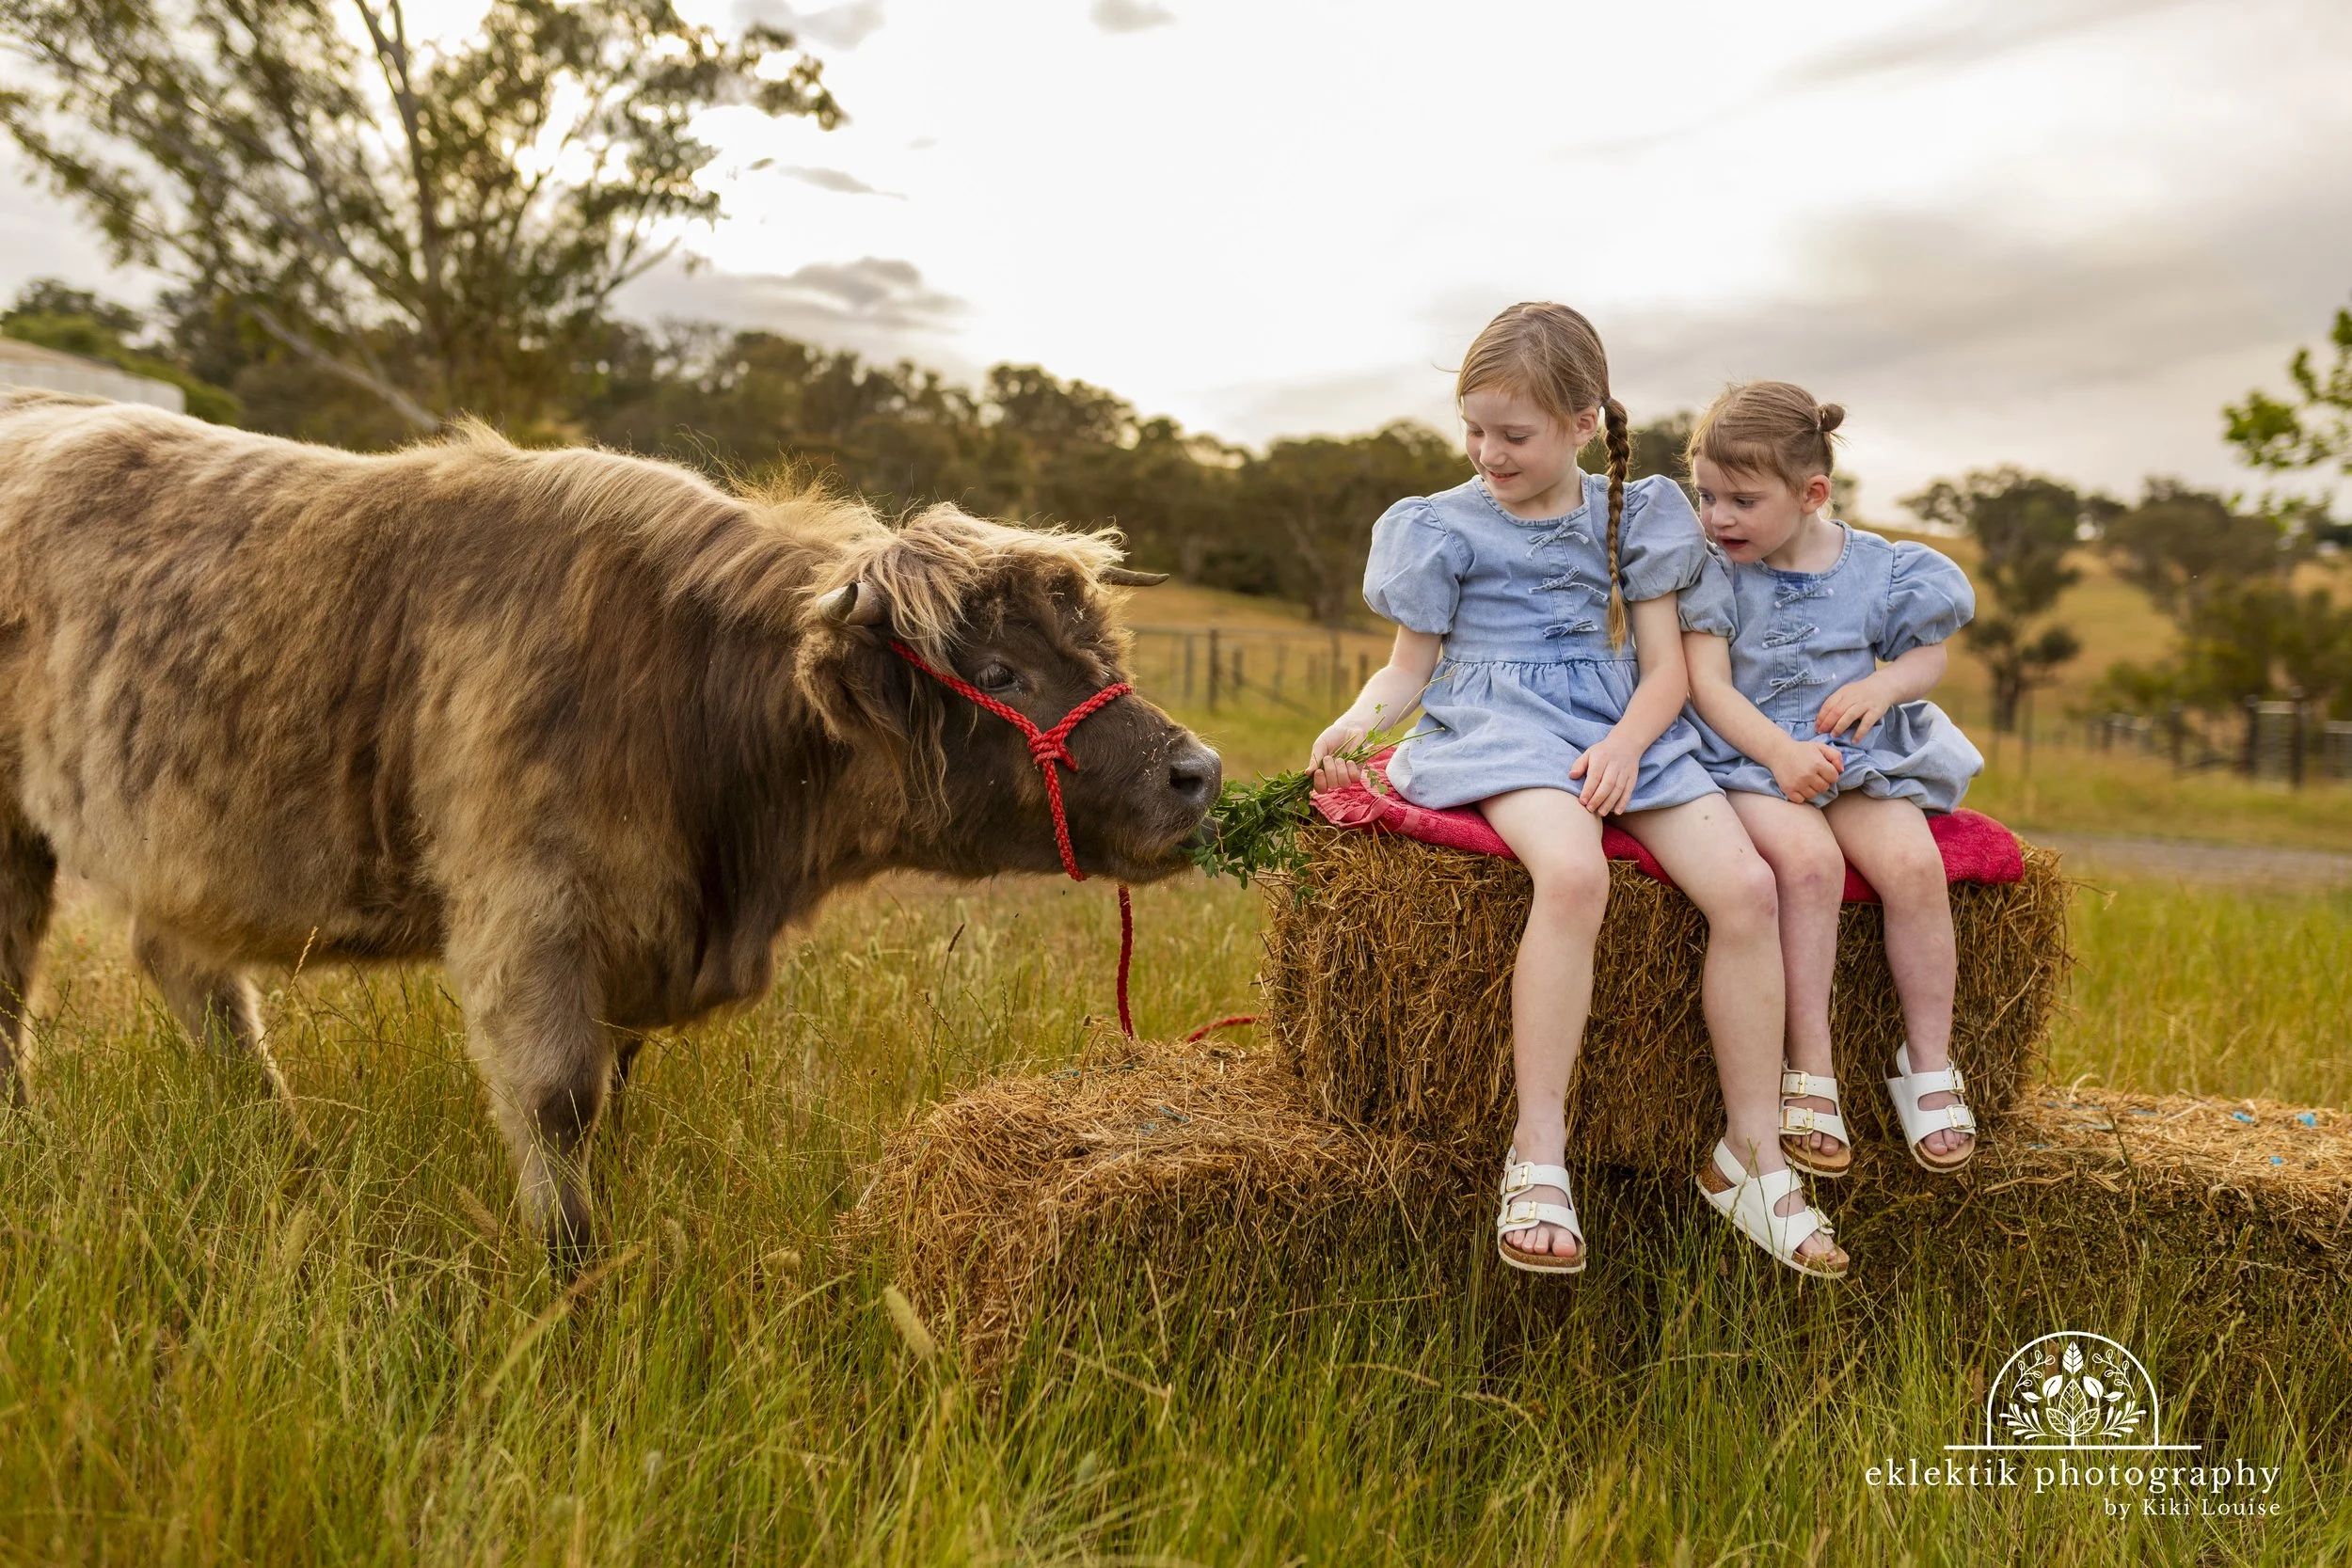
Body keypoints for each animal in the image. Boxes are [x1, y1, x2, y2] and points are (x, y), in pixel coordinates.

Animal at [0, 390, 1221, 1262]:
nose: (1197, 773)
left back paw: (285, 1145)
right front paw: (571, 1276)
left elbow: (616, 1092)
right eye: (1003, 671)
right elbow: (557, 1103)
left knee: (187, 971)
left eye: (1101, 649)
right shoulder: (528, 913)